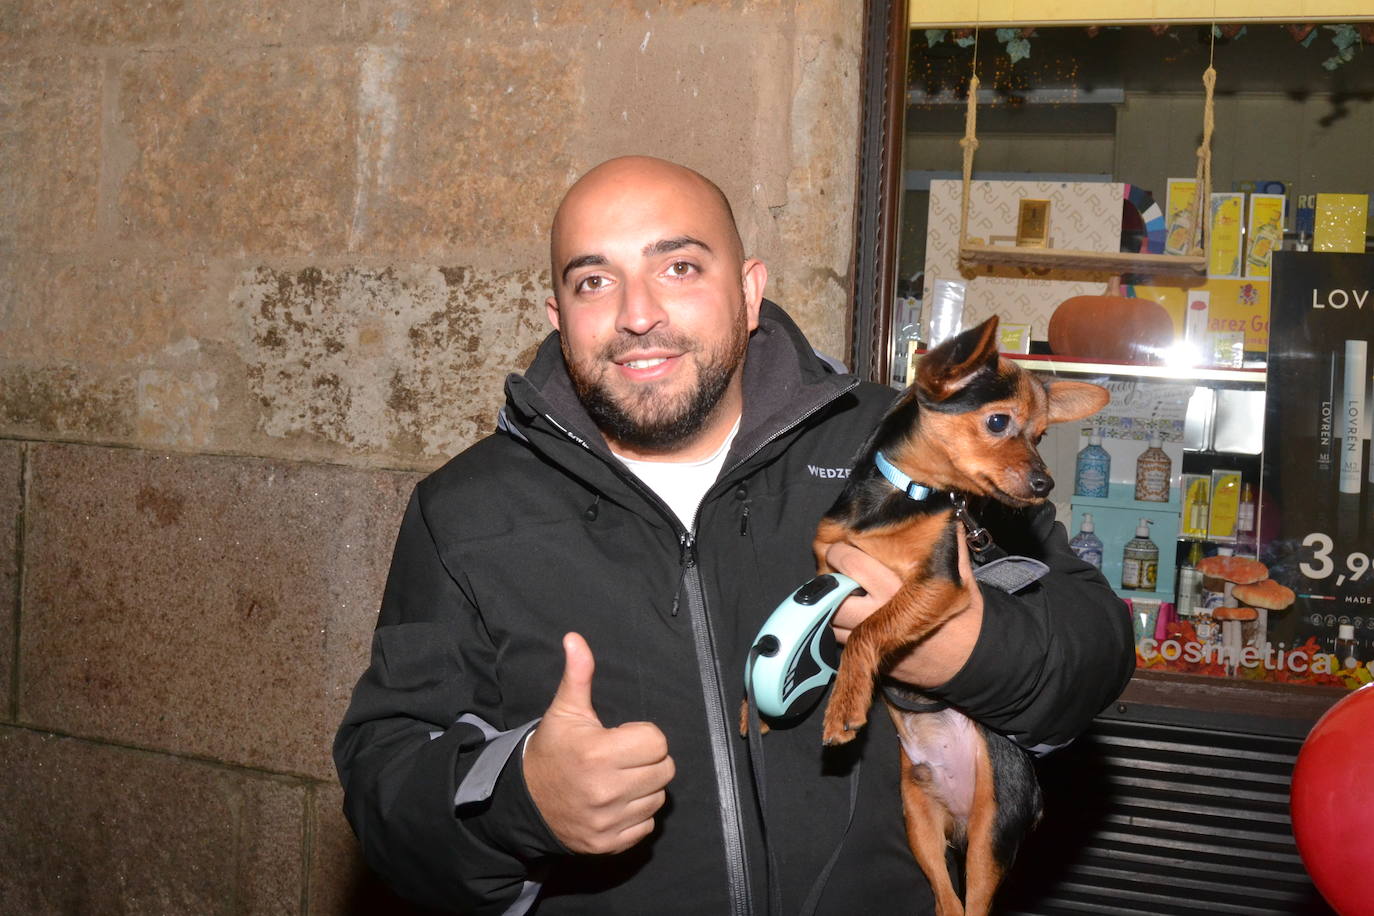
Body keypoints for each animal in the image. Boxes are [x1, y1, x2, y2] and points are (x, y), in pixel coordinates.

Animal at [813, 317, 1104, 916]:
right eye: (999, 422)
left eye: (1041, 436)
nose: (1045, 485)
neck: (905, 495)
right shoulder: (829, 558)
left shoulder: (941, 586)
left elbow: (870, 629)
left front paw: (844, 703)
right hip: (918, 817)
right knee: (948, 900)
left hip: (994, 828)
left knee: (975, 902)